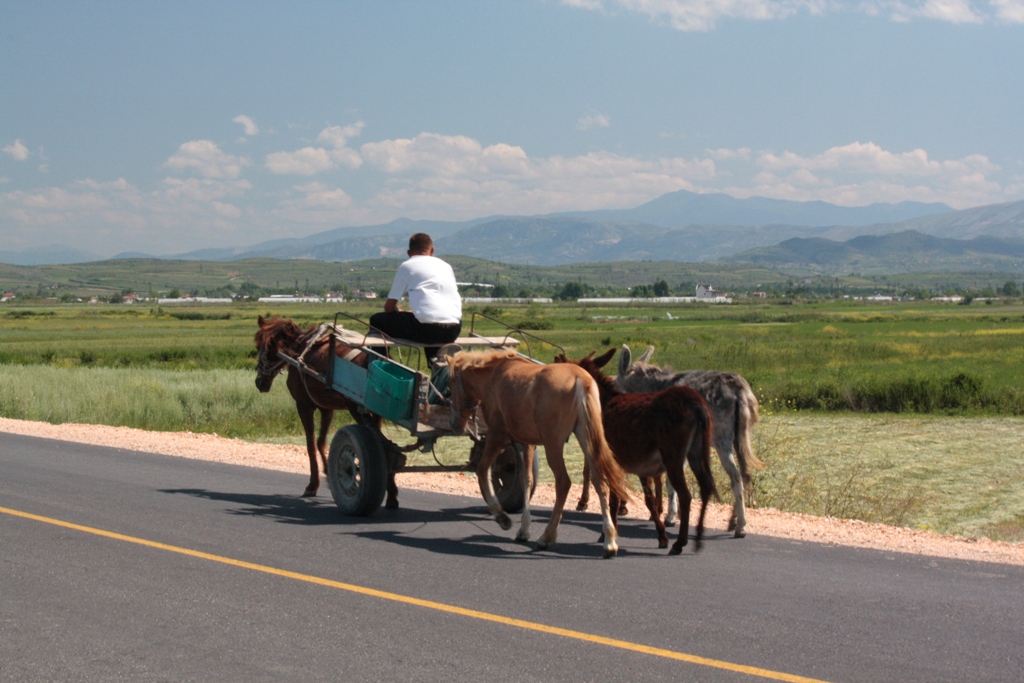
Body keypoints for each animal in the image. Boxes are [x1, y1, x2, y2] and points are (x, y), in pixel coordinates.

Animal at [254, 317, 395, 505]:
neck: (299, 350)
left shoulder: (303, 406)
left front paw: (313, 485)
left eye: (263, 348)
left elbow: (311, 445)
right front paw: (329, 473)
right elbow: (321, 442)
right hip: (375, 413)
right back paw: (391, 492)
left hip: (358, 411)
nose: (259, 383)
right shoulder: (327, 409)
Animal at [448, 350, 630, 557]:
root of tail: (580, 380)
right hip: (587, 439)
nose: (454, 424)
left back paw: (547, 536)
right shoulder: (527, 443)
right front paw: (523, 529)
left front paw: (501, 516)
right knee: (600, 481)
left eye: (450, 387)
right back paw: (609, 540)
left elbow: (482, 469)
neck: (494, 375)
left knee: (563, 483)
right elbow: (527, 480)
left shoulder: (497, 434)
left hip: (553, 445)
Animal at [557, 350, 716, 552]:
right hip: (696, 452)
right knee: (705, 486)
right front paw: (660, 536)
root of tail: (697, 405)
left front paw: (607, 535)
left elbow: (614, 500)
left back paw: (680, 543)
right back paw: (698, 538)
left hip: (673, 456)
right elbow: (644, 499)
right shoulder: (637, 465)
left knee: (685, 495)